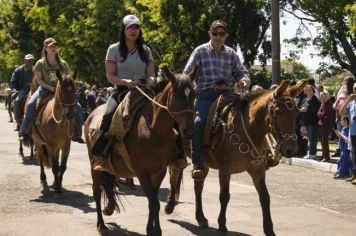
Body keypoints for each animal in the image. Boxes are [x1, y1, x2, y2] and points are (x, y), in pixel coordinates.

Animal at [84, 66, 197, 236]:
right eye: (176, 95)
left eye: (194, 94)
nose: (189, 131)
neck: (153, 131)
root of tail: (91, 115)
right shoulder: (142, 172)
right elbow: (154, 202)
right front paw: (156, 231)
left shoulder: (159, 171)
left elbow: (153, 201)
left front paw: (151, 229)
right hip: (94, 165)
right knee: (96, 192)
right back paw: (101, 225)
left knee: (108, 184)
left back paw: (109, 208)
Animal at [167, 79, 306, 236]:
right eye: (278, 111)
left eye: (296, 113)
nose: (291, 149)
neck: (248, 129)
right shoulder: (225, 170)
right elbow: (224, 196)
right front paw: (222, 226)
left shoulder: (257, 169)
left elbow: (265, 197)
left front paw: (269, 229)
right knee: (174, 175)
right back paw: (170, 206)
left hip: (203, 162)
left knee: (198, 184)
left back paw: (201, 217)